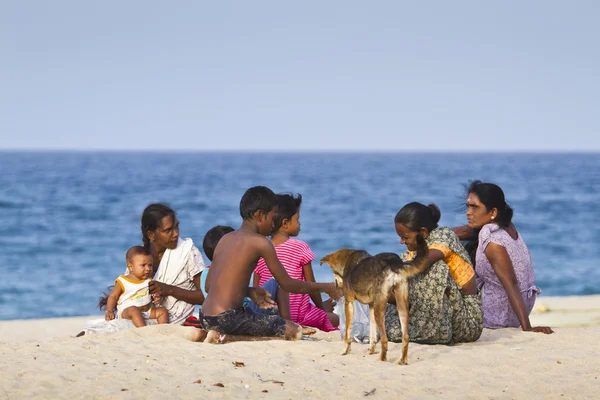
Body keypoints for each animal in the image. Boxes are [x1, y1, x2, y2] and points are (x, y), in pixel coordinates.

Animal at [322, 236, 428, 364]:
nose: (336, 286)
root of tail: (393, 262)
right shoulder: (372, 306)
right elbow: (372, 333)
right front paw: (371, 351)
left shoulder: (349, 303)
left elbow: (348, 332)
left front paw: (345, 351)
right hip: (400, 304)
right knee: (405, 337)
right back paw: (402, 361)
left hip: (380, 309)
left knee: (384, 339)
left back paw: (382, 359)